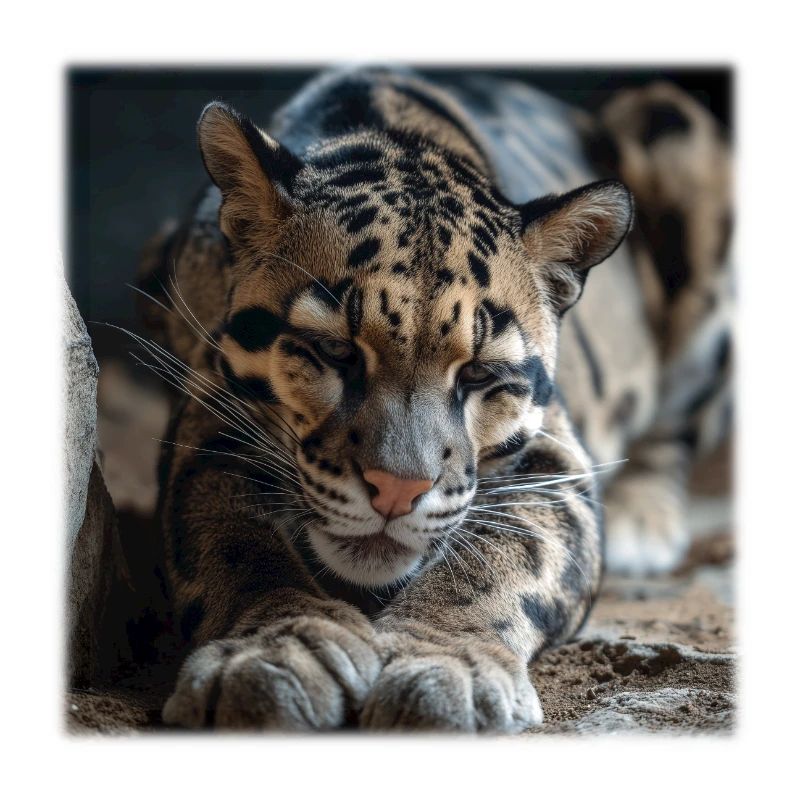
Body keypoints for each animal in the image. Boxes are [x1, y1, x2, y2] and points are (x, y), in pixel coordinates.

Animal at [135, 66, 732, 732]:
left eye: (478, 373)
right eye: (336, 351)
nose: (397, 491)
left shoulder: (555, 454)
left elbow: (508, 549)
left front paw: (446, 662)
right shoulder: (207, 417)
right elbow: (231, 536)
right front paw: (275, 649)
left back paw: (640, 520)